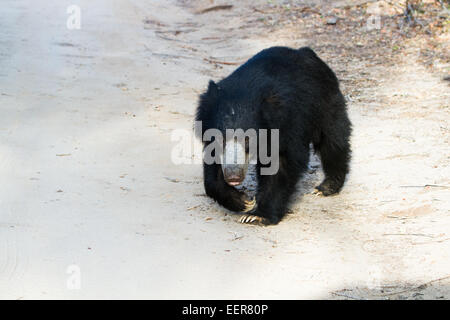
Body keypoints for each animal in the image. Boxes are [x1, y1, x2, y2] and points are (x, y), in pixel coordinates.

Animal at [196, 46, 352, 225]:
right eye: (220, 139)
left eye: (248, 139)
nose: (233, 176)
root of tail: (305, 51)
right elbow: (213, 168)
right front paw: (243, 201)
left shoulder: (288, 123)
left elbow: (281, 162)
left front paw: (257, 215)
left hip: (325, 103)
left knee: (333, 141)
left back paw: (326, 187)